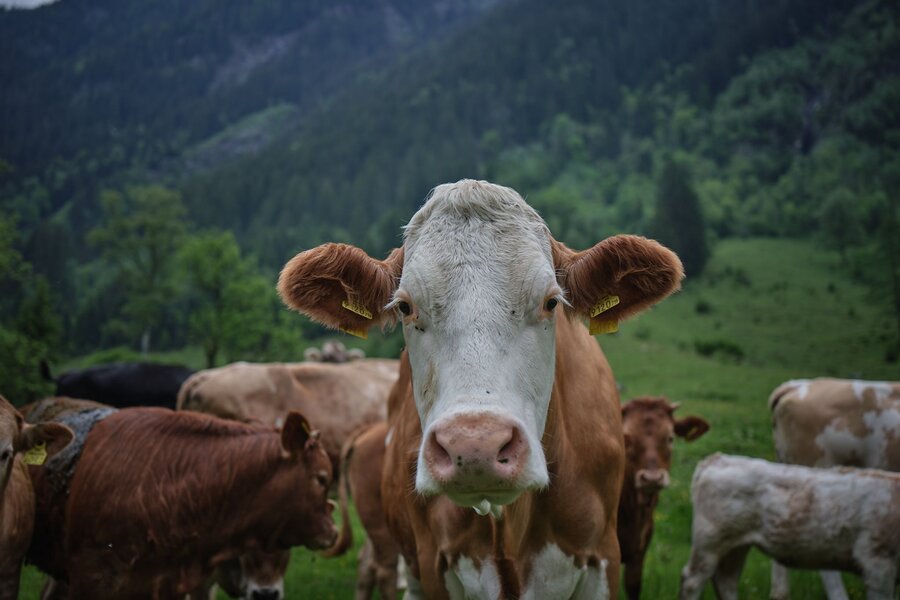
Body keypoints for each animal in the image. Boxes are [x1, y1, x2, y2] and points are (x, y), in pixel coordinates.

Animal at [679, 453, 900, 600]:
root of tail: (719, 458)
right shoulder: (877, 561)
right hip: (709, 544)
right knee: (692, 581)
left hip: (736, 546)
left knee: (726, 580)